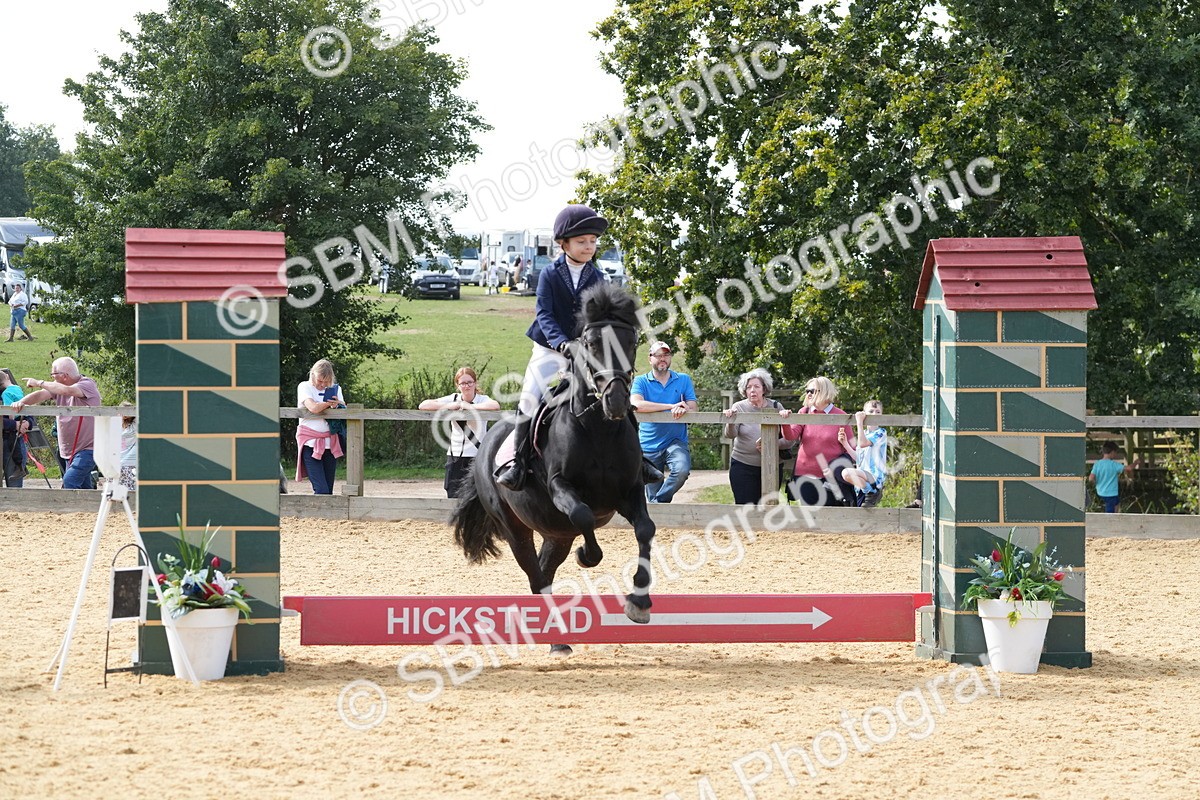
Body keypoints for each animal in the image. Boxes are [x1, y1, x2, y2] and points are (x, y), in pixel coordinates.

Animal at [450, 283, 656, 654]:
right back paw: (555, 636)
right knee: (536, 575)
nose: (616, 402)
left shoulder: (630, 491)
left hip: (555, 533)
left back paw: (556, 638)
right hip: (515, 529)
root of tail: (485, 447)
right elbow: (584, 516)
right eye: (591, 344)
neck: (599, 428)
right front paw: (587, 556)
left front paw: (639, 603)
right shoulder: (562, 488)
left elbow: (646, 529)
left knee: (544, 572)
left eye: (631, 343)